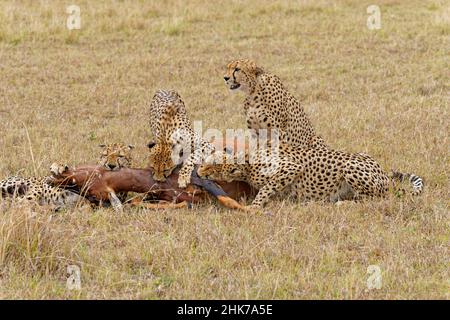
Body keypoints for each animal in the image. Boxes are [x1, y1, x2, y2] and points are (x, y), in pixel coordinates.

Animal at [199, 144, 424, 210]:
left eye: (212, 167)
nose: (200, 171)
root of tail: (383, 174)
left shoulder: (291, 167)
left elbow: (266, 188)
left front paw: (254, 206)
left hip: (350, 166)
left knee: (375, 199)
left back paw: (343, 202)